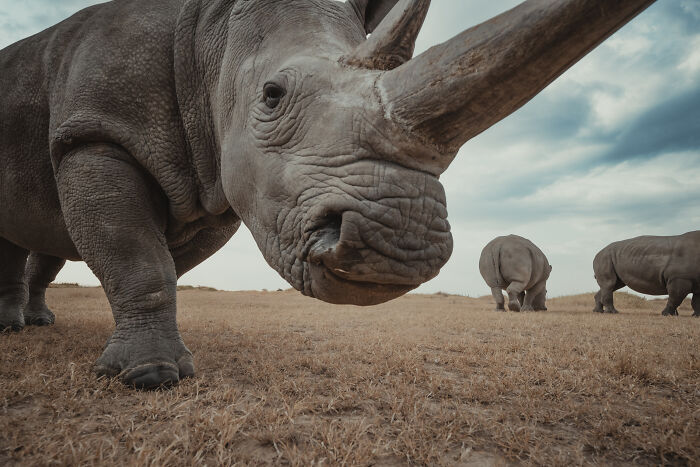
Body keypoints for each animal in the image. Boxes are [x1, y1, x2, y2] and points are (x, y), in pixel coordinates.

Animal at [0, 0, 658, 388]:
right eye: (271, 95)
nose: (399, 248)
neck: (211, 36)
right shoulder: (95, 131)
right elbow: (140, 259)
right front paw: (150, 377)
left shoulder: (217, 181)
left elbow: (155, 259)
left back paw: (26, 327)